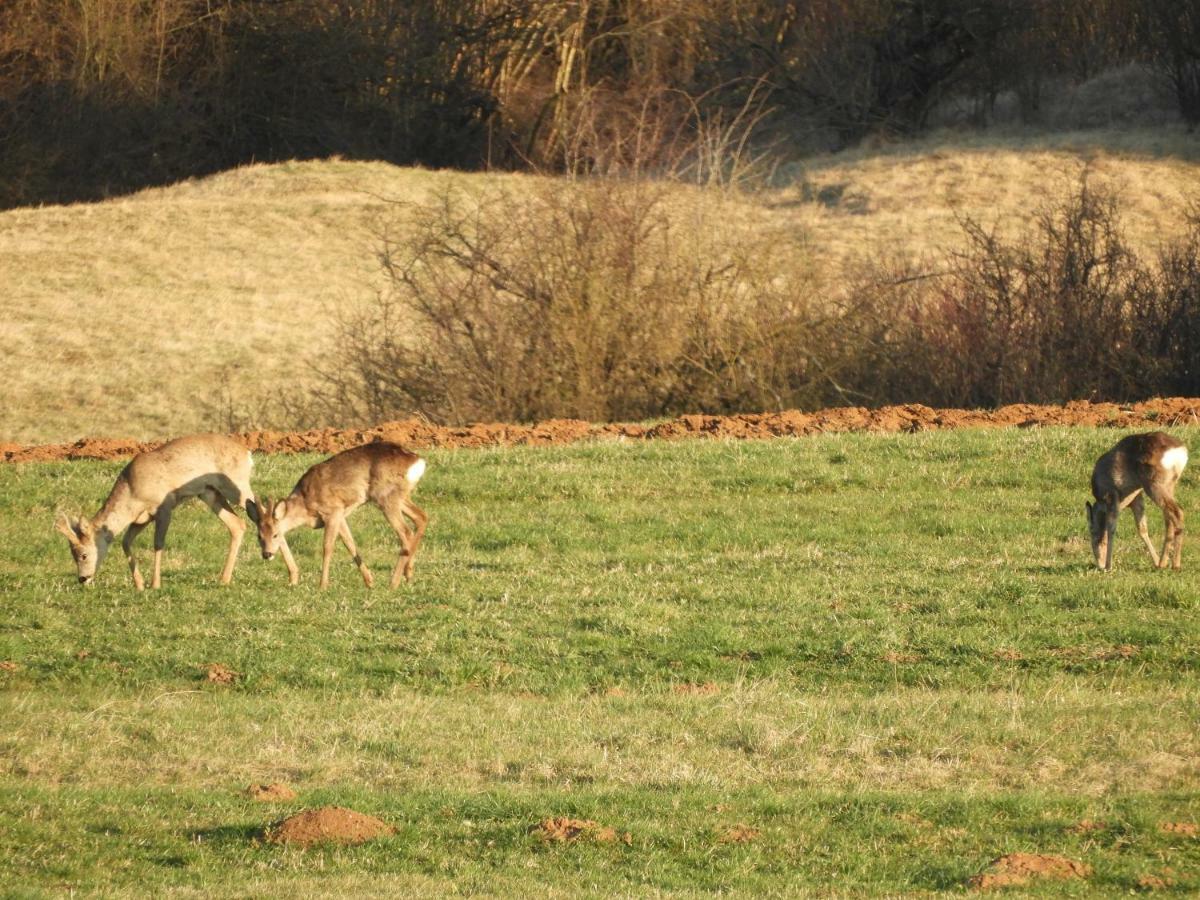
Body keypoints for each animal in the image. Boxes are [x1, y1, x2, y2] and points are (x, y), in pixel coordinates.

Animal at [55, 434, 258, 592]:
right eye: (72, 553)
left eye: (83, 554)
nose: (82, 578)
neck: (132, 489)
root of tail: (246, 453)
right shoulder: (142, 518)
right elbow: (125, 541)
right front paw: (139, 585)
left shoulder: (164, 507)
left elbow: (158, 543)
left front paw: (155, 584)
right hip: (210, 493)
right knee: (238, 525)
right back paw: (224, 579)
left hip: (236, 488)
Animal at [255, 444, 429, 592]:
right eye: (259, 536)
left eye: (275, 534)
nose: (266, 554)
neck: (305, 504)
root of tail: (417, 462)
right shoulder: (341, 515)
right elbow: (350, 543)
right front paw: (369, 581)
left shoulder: (332, 511)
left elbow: (327, 547)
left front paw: (322, 585)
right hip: (400, 496)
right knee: (421, 517)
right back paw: (408, 575)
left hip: (386, 496)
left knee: (406, 532)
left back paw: (393, 583)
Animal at [1094, 432, 1185, 571]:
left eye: (1091, 534)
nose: (1099, 565)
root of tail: (1179, 451)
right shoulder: (1137, 497)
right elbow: (1142, 528)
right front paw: (1155, 560)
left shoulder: (1111, 496)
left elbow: (1111, 528)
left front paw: (1108, 566)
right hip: (1169, 485)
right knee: (1169, 518)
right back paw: (1162, 563)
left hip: (1154, 485)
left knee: (1177, 512)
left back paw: (1175, 564)